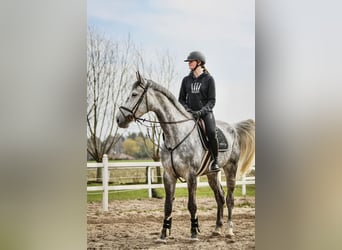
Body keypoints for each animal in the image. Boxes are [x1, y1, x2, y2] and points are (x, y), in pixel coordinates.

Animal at [116, 72, 255, 242]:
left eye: (134, 94)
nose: (119, 119)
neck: (176, 134)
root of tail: (233, 128)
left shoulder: (191, 175)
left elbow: (192, 205)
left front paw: (194, 232)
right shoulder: (169, 175)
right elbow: (168, 205)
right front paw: (163, 234)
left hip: (231, 169)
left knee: (229, 199)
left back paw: (229, 231)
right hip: (212, 174)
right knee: (220, 197)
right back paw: (217, 229)